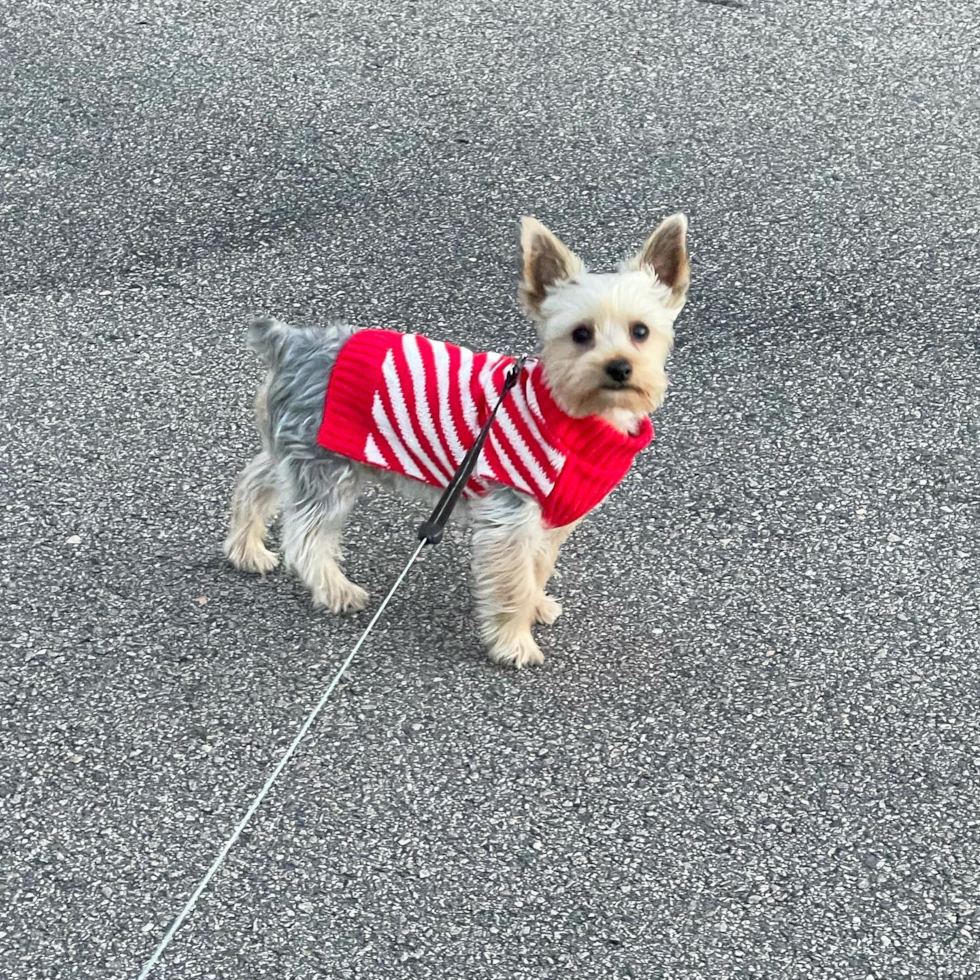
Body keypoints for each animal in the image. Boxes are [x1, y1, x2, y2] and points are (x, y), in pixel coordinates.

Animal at [227, 214, 692, 668]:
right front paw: (514, 643)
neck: (573, 411)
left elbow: (538, 567)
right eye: (580, 334)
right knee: (305, 536)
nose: (619, 367)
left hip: (298, 446)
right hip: (325, 466)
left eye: (640, 331)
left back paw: (246, 549)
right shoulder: (511, 515)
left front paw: (537, 604)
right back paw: (336, 590)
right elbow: (514, 580)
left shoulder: (550, 515)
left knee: (257, 480)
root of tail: (294, 341)